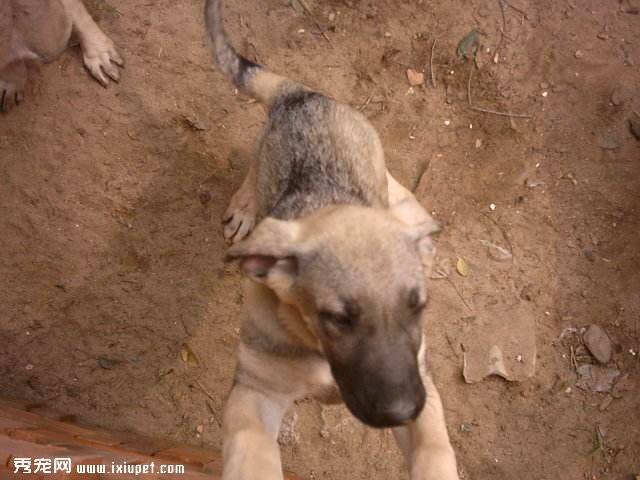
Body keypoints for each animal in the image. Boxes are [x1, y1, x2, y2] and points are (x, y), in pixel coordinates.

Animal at [205, 0, 460, 480]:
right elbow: (251, 455)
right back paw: (246, 207)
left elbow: (437, 452)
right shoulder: (254, 392)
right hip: (268, 151)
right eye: (338, 318)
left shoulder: (424, 391)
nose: (401, 412)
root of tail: (301, 94)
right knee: (254, 167)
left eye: (418, 306)